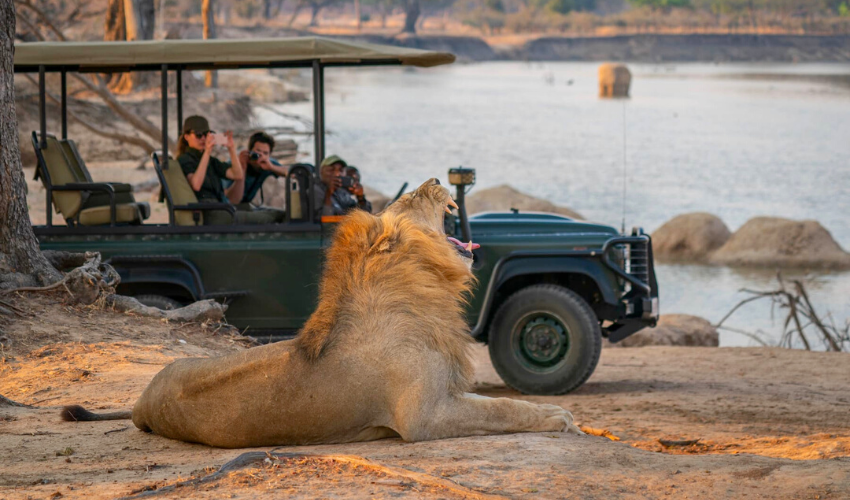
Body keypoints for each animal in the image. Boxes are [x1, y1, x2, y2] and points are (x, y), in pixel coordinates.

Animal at [61, 178, 581, 448]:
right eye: (411, 198)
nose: (437, 181)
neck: (424, 288)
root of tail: (140, 403)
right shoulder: (424, 417)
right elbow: (504, 409)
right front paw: (560, 417)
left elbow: (501, 405)